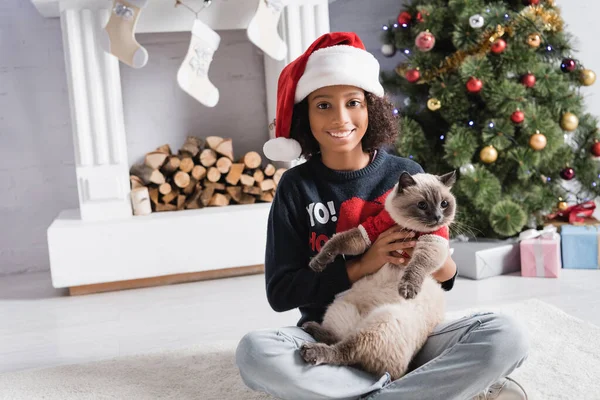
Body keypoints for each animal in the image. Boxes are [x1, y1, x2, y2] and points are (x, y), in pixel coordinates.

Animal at [298, 170, 458, 380]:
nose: (438, 217)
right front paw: (317, 263)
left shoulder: (433, 242)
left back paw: (310, 350)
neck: (406, 226)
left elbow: (417, 265)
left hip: (384, 321)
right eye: (422, 205)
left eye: (444, 204)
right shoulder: (369, 232)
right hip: (341, 308)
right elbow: (336, 241)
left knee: (345, 351)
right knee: (341, 341)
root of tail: (400, 372)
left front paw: (407, 290)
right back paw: (310, 328)